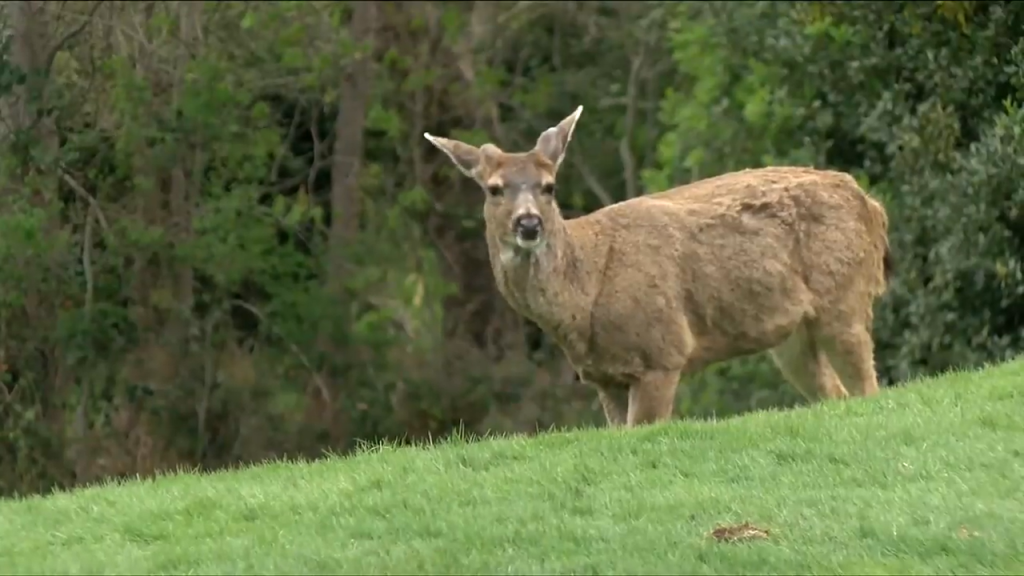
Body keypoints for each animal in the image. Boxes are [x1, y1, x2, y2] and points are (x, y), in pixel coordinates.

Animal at [421, 105, 888, 426]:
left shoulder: (662, 351)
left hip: (843, 295)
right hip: (790, 337)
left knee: (868, 385)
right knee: (835, 392)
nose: (529, 223)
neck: (584, 295)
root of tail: (869, 204)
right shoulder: (603, 376)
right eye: (494, 188)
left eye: (549, 186)